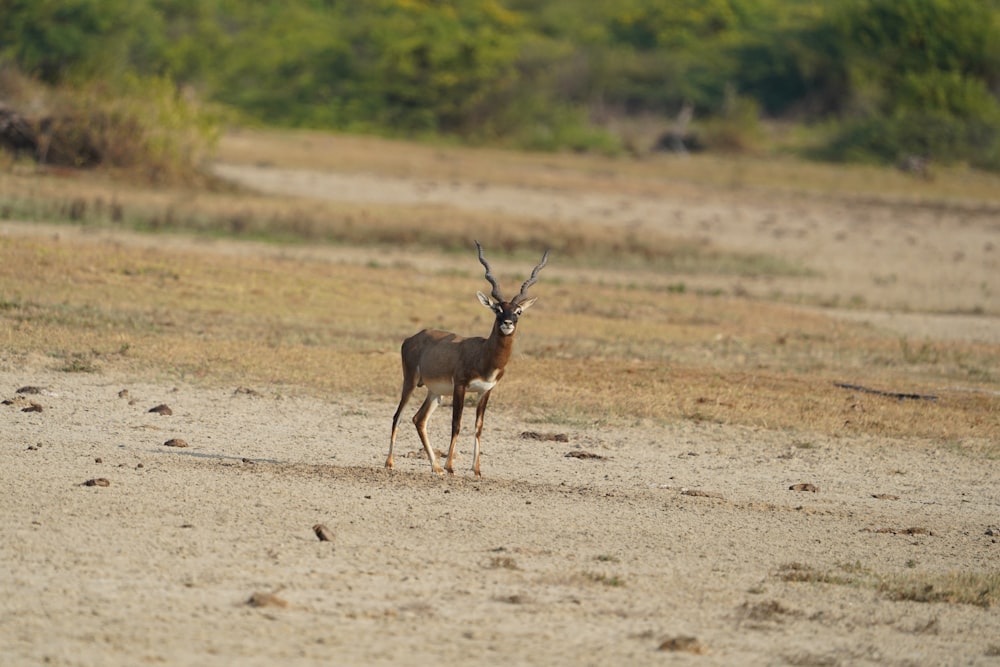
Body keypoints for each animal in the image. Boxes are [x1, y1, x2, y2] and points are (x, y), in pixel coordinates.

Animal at [388, 243, 548, 478]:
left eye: (518, 311)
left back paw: (435, 467)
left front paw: (476, 469)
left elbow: (478, 427)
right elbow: (457, 423)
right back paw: (390, 463)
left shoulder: (486, 391)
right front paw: (451, 466)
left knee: (419, 419)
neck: (483, 354)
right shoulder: (460, 386)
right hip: (410, 382)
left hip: (435, 392)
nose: (507, 323)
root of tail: (413, 337)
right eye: (498, 309)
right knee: (397, 415)